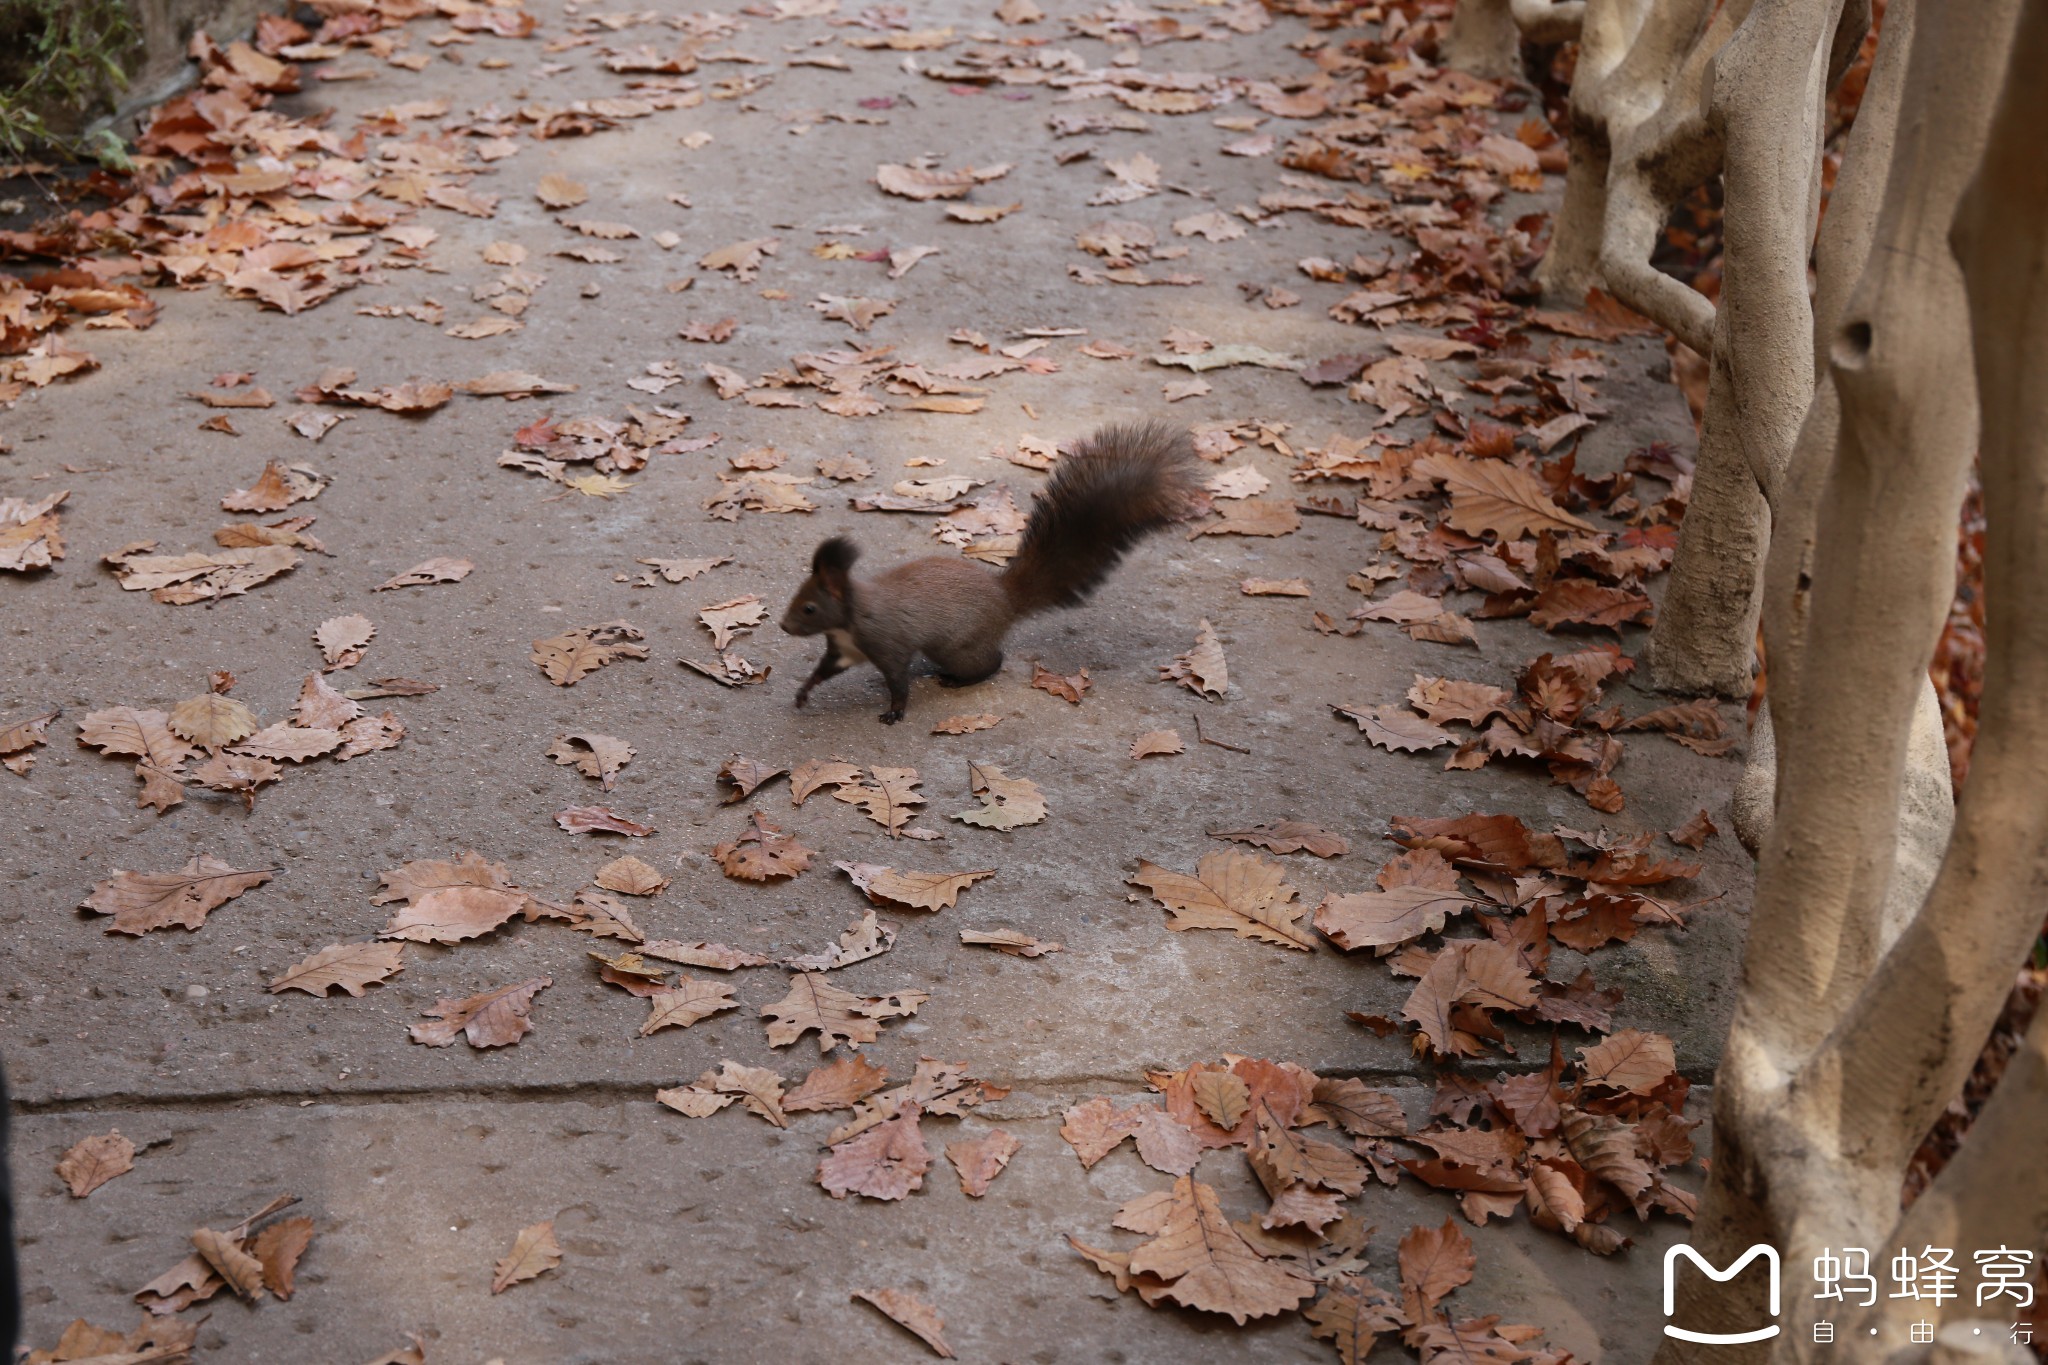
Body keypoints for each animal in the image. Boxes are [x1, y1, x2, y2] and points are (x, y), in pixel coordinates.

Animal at [778, 421, 1196, 724]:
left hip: (956, 646)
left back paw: (957, 679)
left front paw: (894, 712)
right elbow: (825, 670)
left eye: (809, 608)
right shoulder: (842, 649)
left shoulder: (887, 643)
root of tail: (1005, 598)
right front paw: (804, 691)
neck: (850, 616)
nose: (783, 626)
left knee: (992, 661)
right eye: (797, 596)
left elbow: (898, 682)